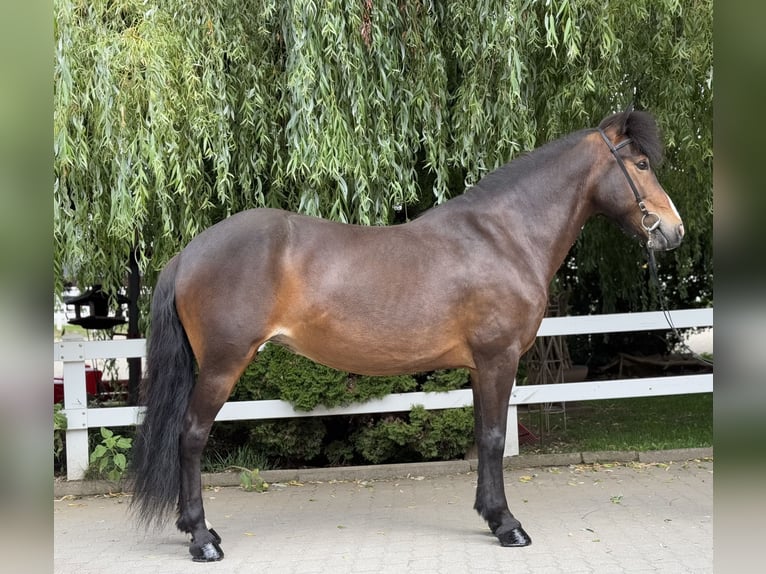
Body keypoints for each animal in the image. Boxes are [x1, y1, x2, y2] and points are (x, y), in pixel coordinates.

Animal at [129, 109, 684, 561]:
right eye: (640, 165)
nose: (673, 231)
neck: (503, 236)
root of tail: (188, 253)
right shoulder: (499, 358)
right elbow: (494, 437)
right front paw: (509, 526)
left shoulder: (479, 366)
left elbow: (483, 436)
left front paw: (490, 515)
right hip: (223, 365)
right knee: (191, 435)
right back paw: (202, 539)